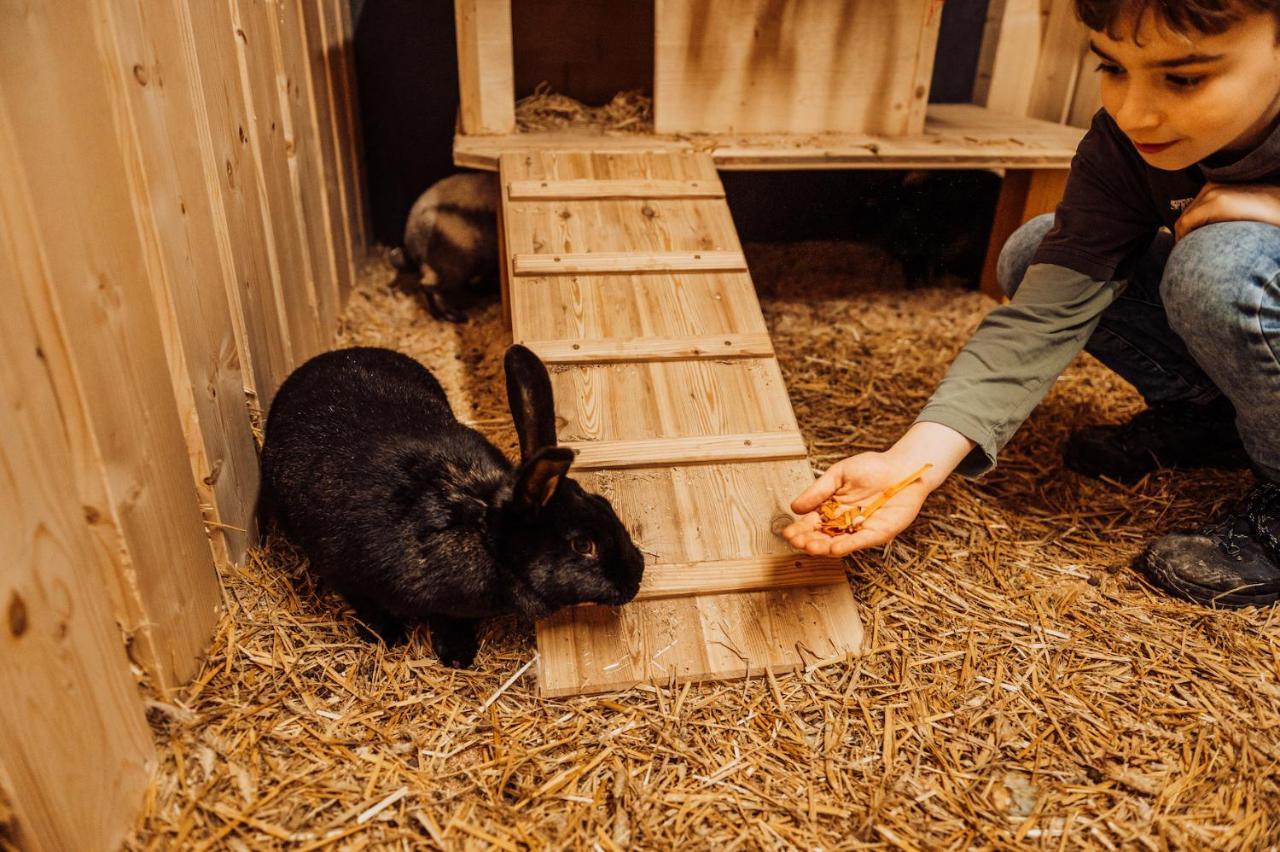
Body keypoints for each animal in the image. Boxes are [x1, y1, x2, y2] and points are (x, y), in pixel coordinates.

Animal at [259, 342, 645, 665]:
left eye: (603, 502)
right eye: (582, 545)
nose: (637, 575)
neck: (485, 530)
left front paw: (458, 653)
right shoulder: (351, 574)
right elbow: (372, 605)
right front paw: (403, 641)